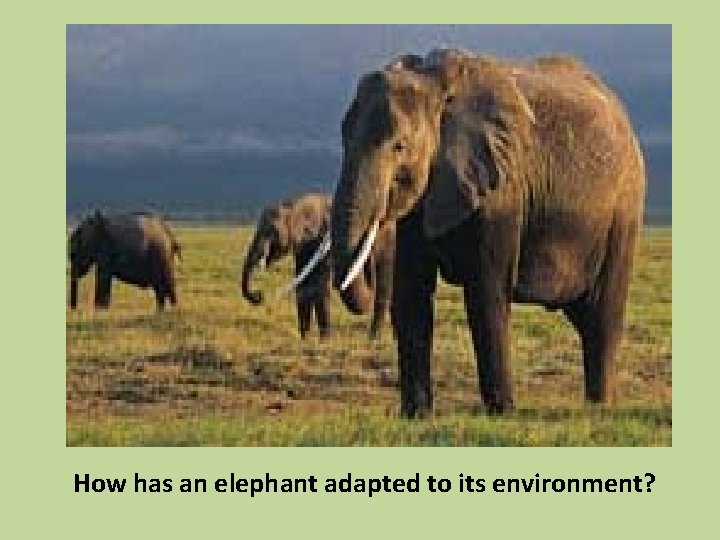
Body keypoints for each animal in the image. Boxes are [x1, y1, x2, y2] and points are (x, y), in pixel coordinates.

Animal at [240, 193, 395, 339]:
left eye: (272, 230)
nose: (259, 295)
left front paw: (324, 341)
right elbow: (303, 284)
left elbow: (318, 286)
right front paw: (305, 338)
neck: (295, 204)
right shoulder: (303, 246)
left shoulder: (321, 240)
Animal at [328, 49, 646, 417]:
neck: (438, 84)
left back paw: (600, 408)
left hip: (624, 210)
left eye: (399, 147)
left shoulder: (502, 190)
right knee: (585, 318)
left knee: (602, 318)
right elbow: (412, 296)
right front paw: (416, 416)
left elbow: (485, 294)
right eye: (342, 138)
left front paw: (503, 413)